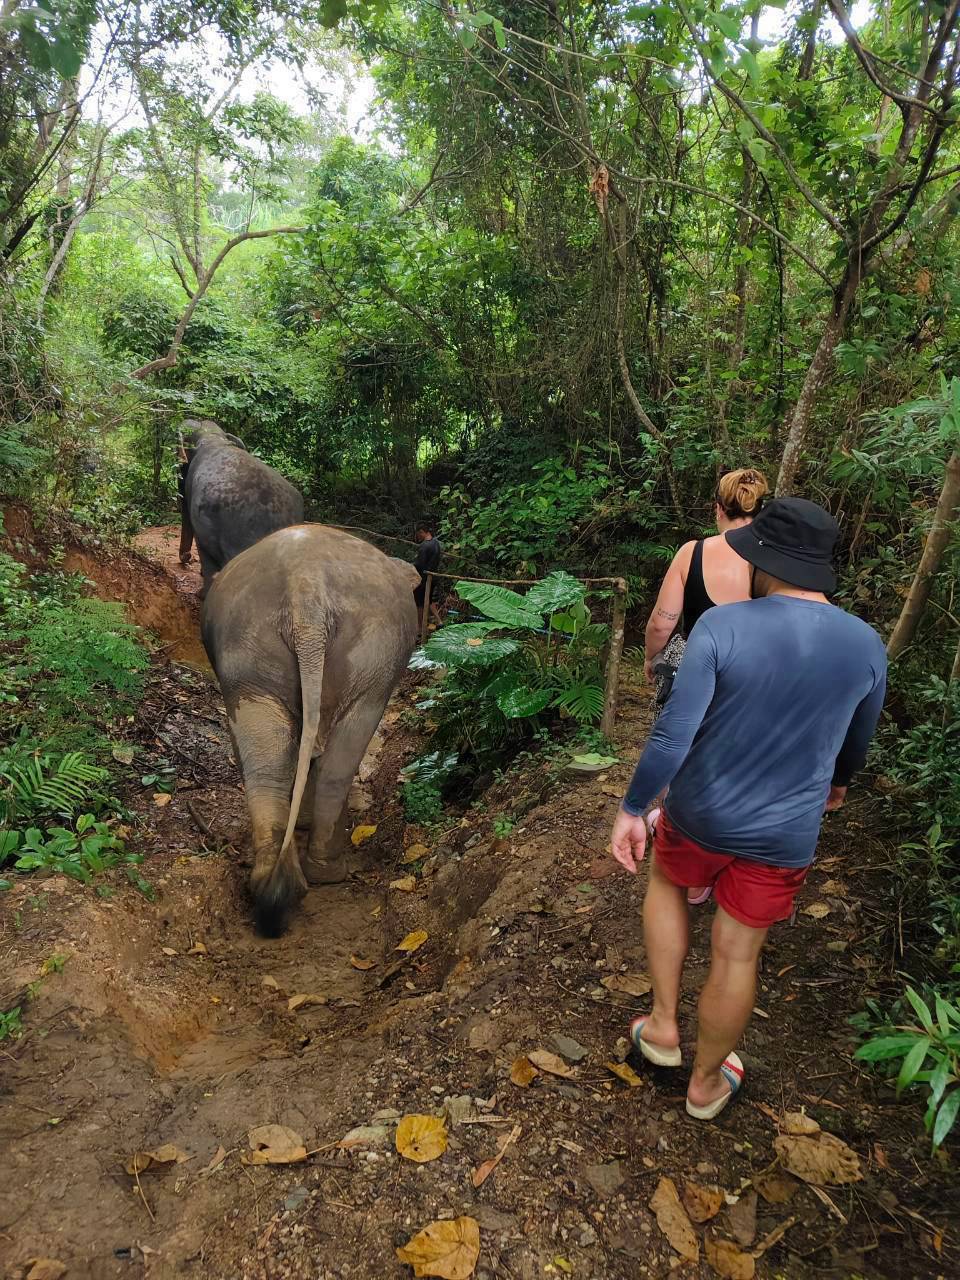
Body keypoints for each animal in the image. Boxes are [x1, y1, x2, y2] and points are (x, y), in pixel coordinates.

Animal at [200, 524, 421, 935]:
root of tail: (306, 588)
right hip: (372, 654)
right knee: (342, 754)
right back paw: (325, 872)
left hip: (251, 651)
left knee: (270, 760)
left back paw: (277, 882)